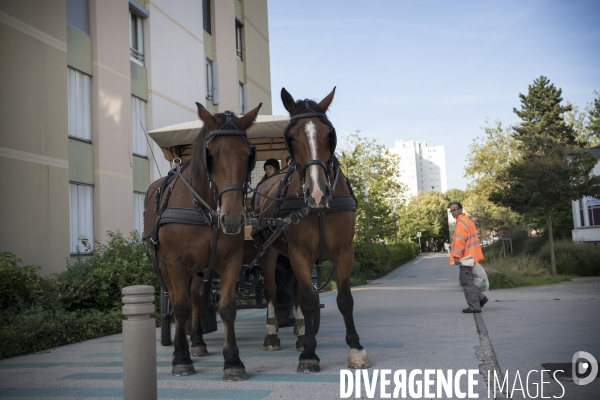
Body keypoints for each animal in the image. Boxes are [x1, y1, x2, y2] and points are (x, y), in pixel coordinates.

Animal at [144, 102, 262, 382]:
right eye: (212, 155)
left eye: (248, 155)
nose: (232, 218)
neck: (204, 208)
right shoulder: (175, 263)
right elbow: (180, 307)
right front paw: (181, 358)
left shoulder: (231, 261)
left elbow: (226, 307)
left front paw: (233, 361)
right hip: (165, 267)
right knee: (180, 300)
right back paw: (180, 347)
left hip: (199, 269)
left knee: (197, 298)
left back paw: (197, 342)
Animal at [253, 87, 370, 372]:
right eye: (291, 137)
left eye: (329, 134)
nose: (317, 193)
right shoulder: (300, 253)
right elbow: (308, 300)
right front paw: (309, 354)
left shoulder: (344, 251)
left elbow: (344, 299)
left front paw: (355, 348)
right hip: (271, 253)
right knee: (272, 291)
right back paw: (272, 335)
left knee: (294, 292)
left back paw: (300, 332)